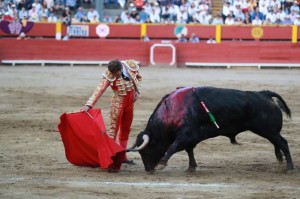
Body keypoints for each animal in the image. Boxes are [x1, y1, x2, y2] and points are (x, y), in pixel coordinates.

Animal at [127, 87, 294, 173]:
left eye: (147, 150)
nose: (148, 169)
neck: (172, 110)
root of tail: (264, 93)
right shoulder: (189, 138)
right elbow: (189, 150)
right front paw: (191, 167)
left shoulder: (186, 134)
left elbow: (174, 147)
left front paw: (162, 163)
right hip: (269, 131)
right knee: (277, 143)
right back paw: (280, 161)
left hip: (267, 129)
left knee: (283, 143)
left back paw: (290, 167)